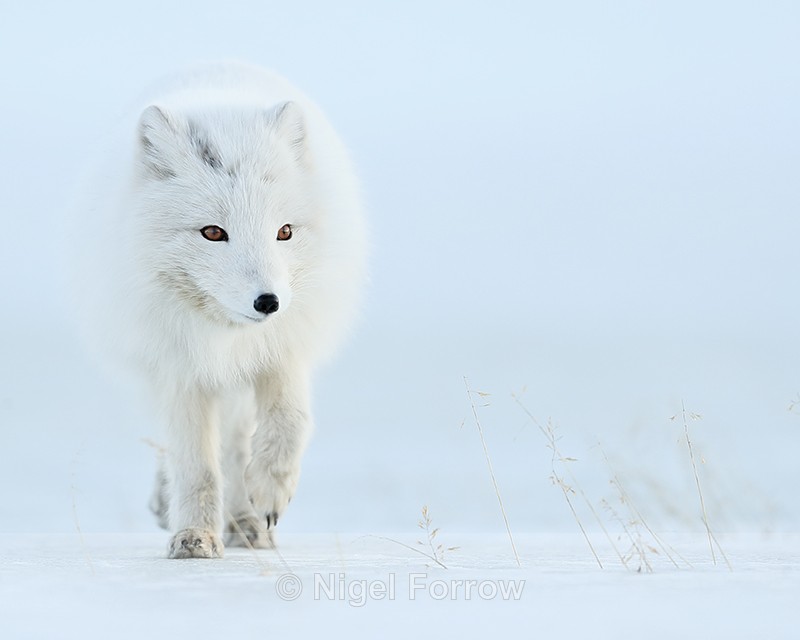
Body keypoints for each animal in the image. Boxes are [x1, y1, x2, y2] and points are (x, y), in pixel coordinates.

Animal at [73, 62, 367, 558]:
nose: (268, 302)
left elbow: (290, 421)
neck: (226, 337)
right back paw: (176, 505)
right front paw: (194, 534)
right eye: (213, 232)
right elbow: (195, 463)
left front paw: (267, 491)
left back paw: (246, 521)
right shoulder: (179, 369)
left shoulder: (283, 347)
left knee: (235, 445)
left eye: (284, 232)